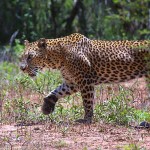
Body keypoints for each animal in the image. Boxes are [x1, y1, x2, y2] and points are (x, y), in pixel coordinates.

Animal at [20, 33, 150, 123]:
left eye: (30, 56)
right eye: (21, 57)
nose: (21, 68)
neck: (58, 57)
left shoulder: (85, 80)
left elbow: (87, 102)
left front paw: (86, 119)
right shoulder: (72, 82)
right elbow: (57, 91)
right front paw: (47, 106)